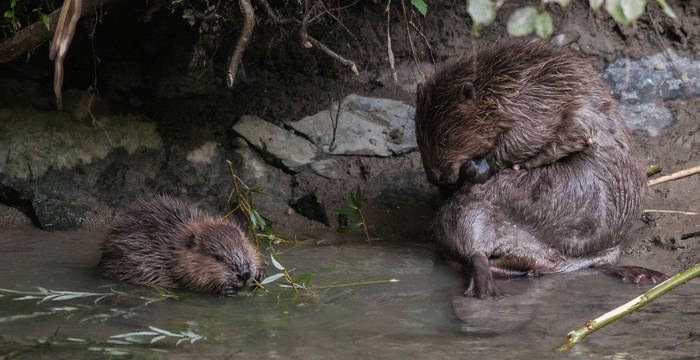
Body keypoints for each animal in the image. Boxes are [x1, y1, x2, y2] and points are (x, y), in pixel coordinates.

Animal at [102, 195, 268, 296]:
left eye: (245, 248)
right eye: (218, 258)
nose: (245, 273)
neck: (172, 247)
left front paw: (260, 275)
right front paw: (224, 289)